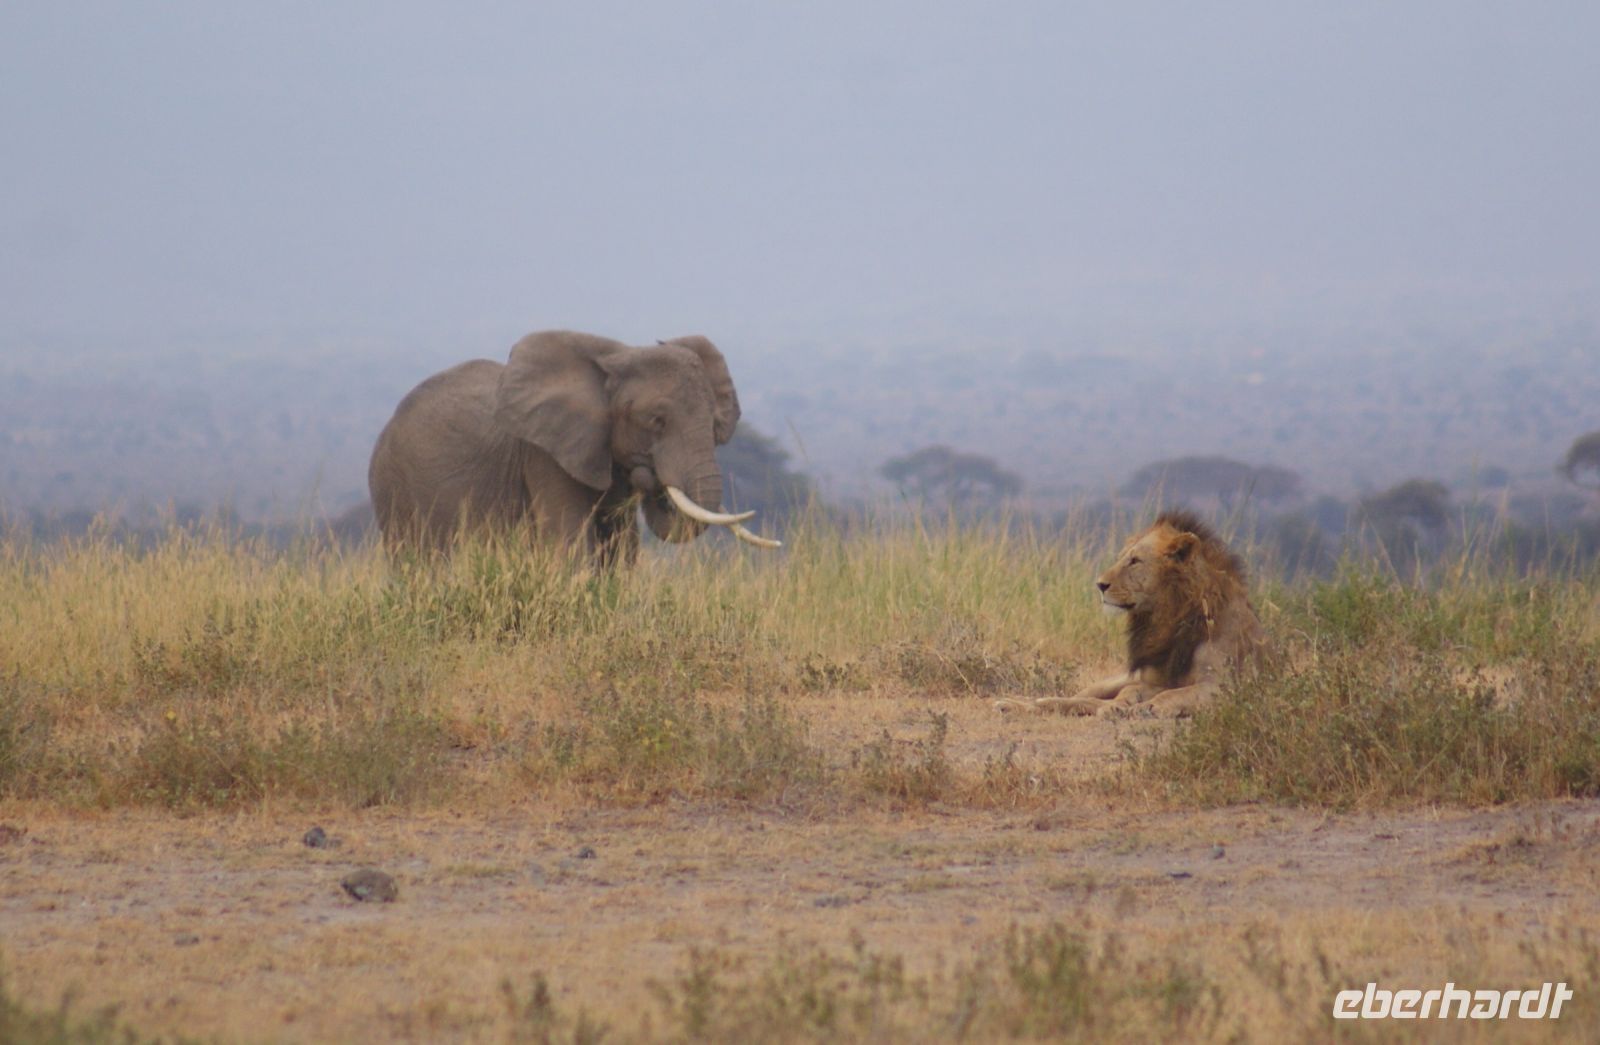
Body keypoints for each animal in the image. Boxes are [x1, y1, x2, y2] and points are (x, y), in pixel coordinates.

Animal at [368, 330, 779, 561]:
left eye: (713, 424)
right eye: (656, 422)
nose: (650, 475)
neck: (618, 356)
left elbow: (620, 546)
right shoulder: (544, 454)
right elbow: (569, 540)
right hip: (392, 487)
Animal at [998, 511, 1266, 718]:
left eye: (1135, 561)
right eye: (1121, 558)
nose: (1100, 584)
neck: (1169, 617)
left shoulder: (1223, 686)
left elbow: (1176, 693)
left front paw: (1147, 708)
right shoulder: (1152, 680)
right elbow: (1134, 692)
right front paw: (1124, 706)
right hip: (1110, 681)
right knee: (1075, 697)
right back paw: (1013, 703)